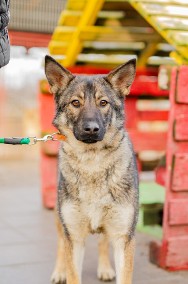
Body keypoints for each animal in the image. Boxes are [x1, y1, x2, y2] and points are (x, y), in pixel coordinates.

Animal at [45, 55, 140, 284]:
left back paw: (105, 268)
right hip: (60, 219)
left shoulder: (123, 238)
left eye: (103, 103)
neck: (92, 163)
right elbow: (72, 271)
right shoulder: (74, 237)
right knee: (61, 243)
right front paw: (64, 272)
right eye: (75, 103)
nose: (91, 129)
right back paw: (59, 271)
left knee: (102, 242)